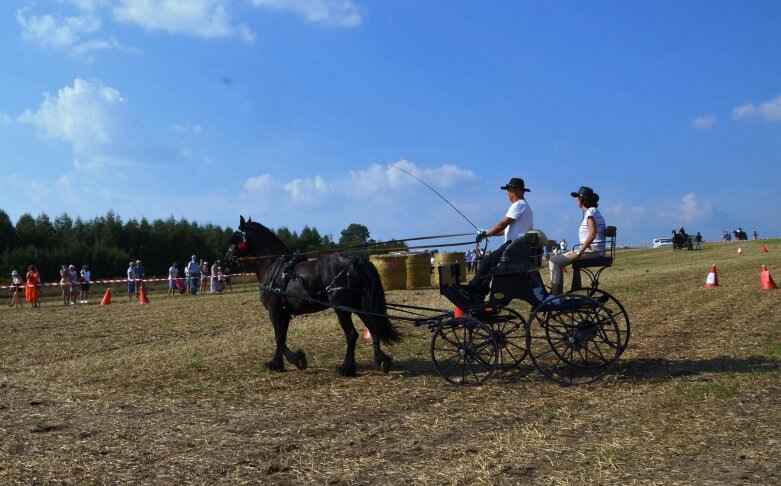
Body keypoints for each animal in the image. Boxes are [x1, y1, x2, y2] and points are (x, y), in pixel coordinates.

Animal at [222, 216, 400, 376]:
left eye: (235, 240)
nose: (224, 263)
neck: (274, 267)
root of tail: (358, 261)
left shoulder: (275, 312)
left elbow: (278, 337)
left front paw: (280, 363)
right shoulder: (285, 312)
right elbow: (283, 337)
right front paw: (290, 361)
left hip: (342, 307)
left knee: (351, 334)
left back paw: (346, 368)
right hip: (359, 305)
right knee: (373, 327)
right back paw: (381, 360)